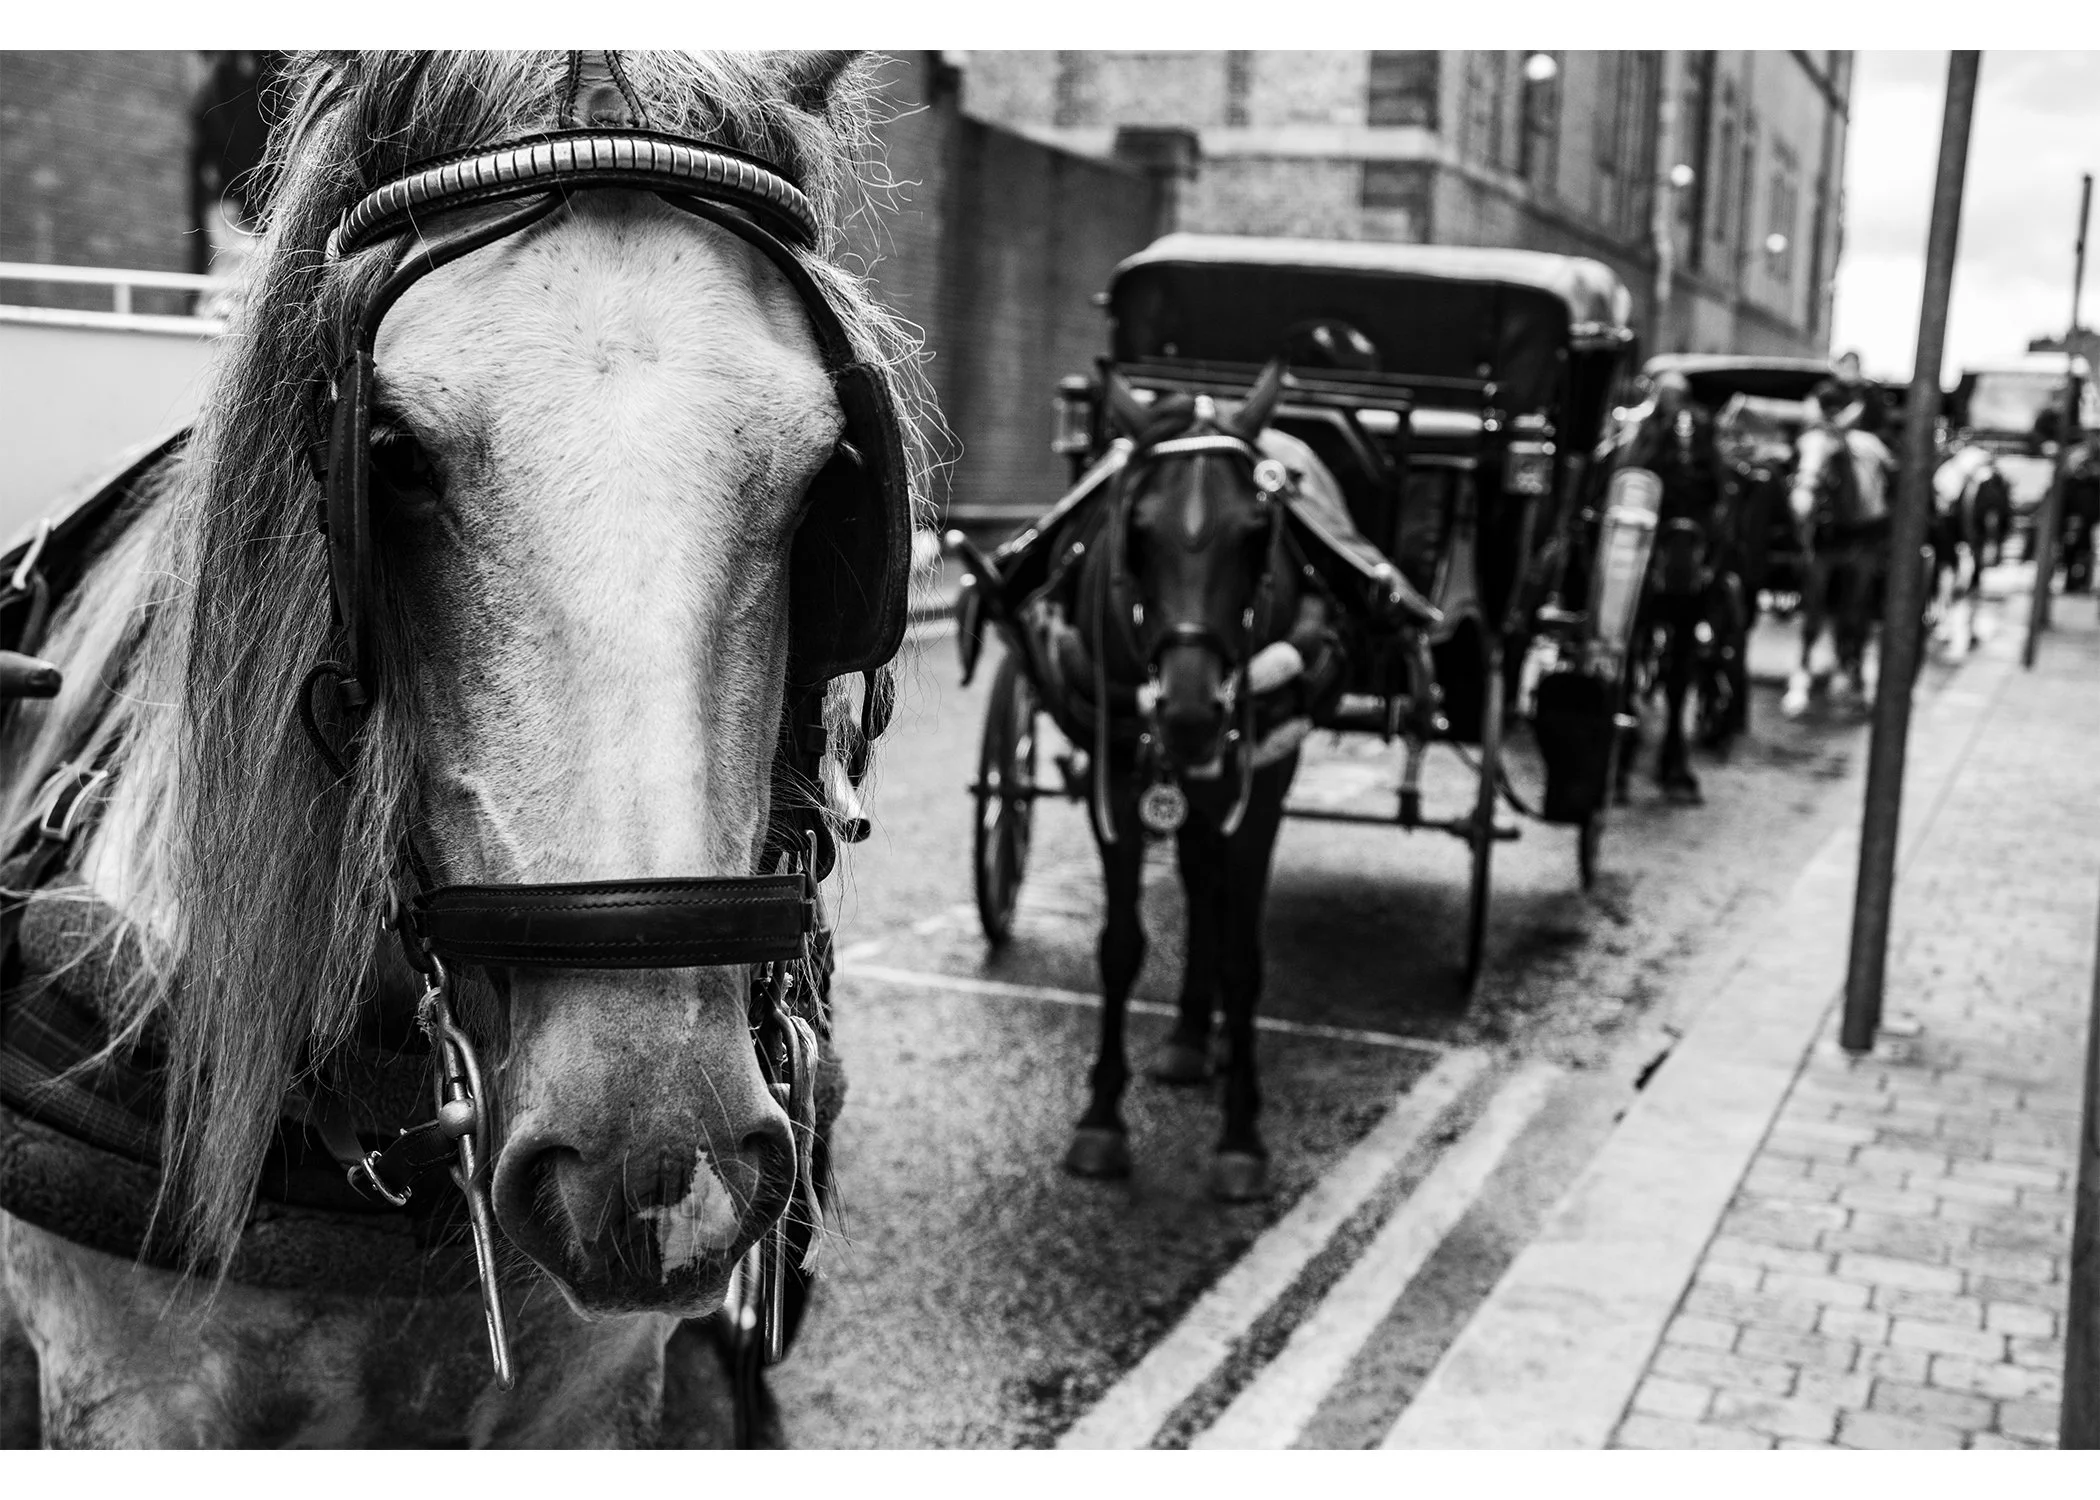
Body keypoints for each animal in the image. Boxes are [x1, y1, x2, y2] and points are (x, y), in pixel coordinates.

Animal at [1022, 365, 1352, 1203]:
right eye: (1136, 530)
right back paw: (1190, 1037)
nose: (1193, 711)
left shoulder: (1260, 783)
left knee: (1221, 895)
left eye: (1257, 531)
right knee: (1203, 883)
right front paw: (1101, 1120)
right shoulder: (1117, 779)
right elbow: (1120, 946)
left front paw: (1242, 1135)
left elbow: (1245, 954)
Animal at [1781, 423, 1893, 717]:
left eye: (1835, 455)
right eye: (1797, 451)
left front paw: (1842, 681)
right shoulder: (1817, 564)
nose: (1800, 504)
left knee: (1857, 618)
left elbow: (1849, 619)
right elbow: (1812, 624)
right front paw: (1798, 689)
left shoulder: (1862, 565)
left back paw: (1856, 674)